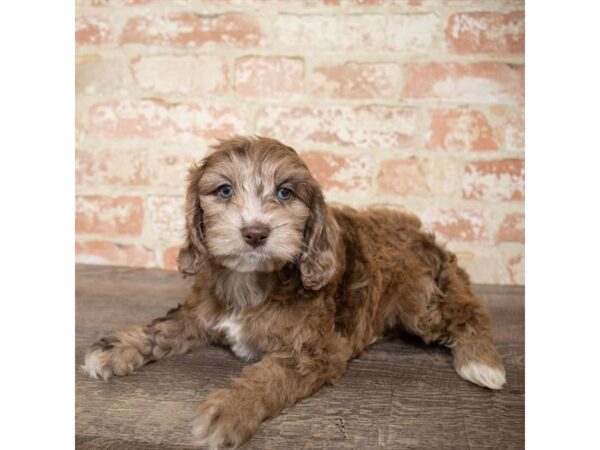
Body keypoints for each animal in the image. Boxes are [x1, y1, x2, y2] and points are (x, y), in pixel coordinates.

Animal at [84, 135, 506, 448]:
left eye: (285, 193)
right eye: (224, 190)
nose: (255, 232)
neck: (251, 279)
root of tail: (424, 235)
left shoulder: (314, 350)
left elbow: (269, 375)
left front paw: (230, 409)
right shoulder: (200, 311)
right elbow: (165, 327)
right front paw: (116, 348)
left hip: (420, 302)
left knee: (469, 310)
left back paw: (482, 362)